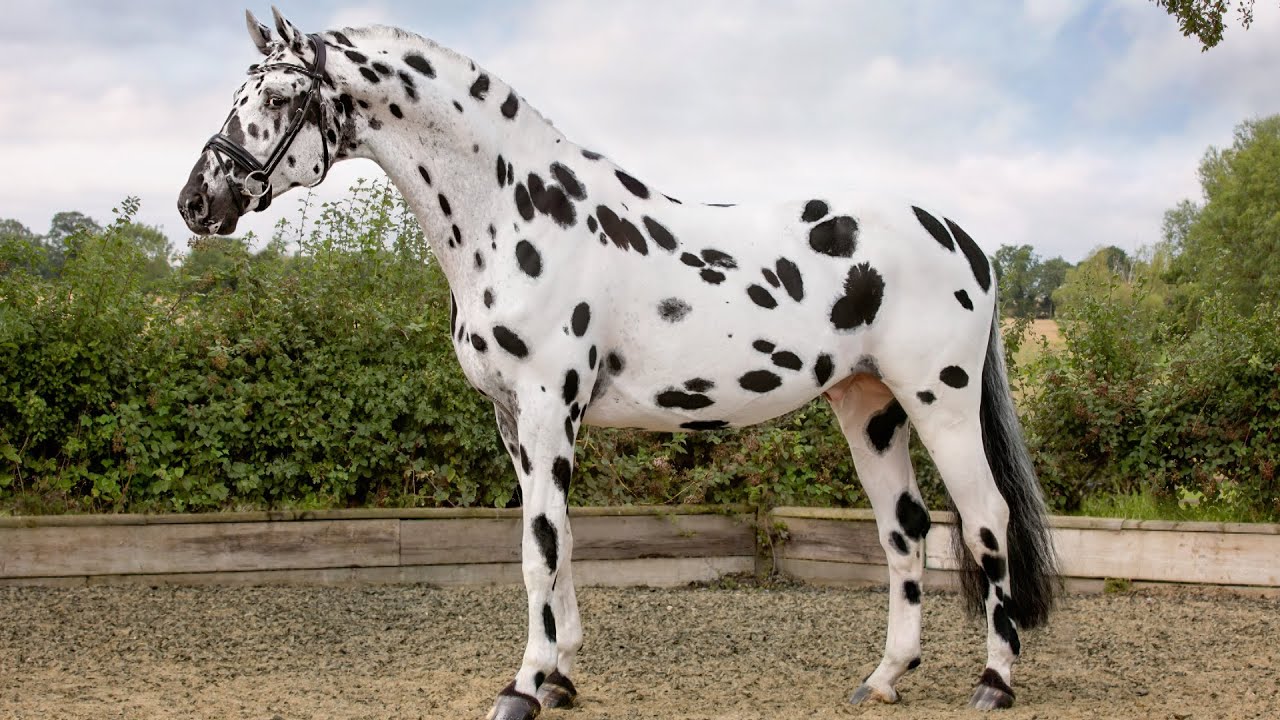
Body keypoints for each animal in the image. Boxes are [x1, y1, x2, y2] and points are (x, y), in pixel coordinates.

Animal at [178, 9, 1058, 717]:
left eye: (281, 97)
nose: (198, 202)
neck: (516, 212)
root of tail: (961, 237)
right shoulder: (514, 420)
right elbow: (558, 540)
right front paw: (561, 677)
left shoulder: (547, 409)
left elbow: (537, 549)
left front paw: (524, 688)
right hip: (867, 406)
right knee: (904, 530)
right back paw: (884, 679)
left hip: (940, 402)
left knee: (986, 520)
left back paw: (994, 681)